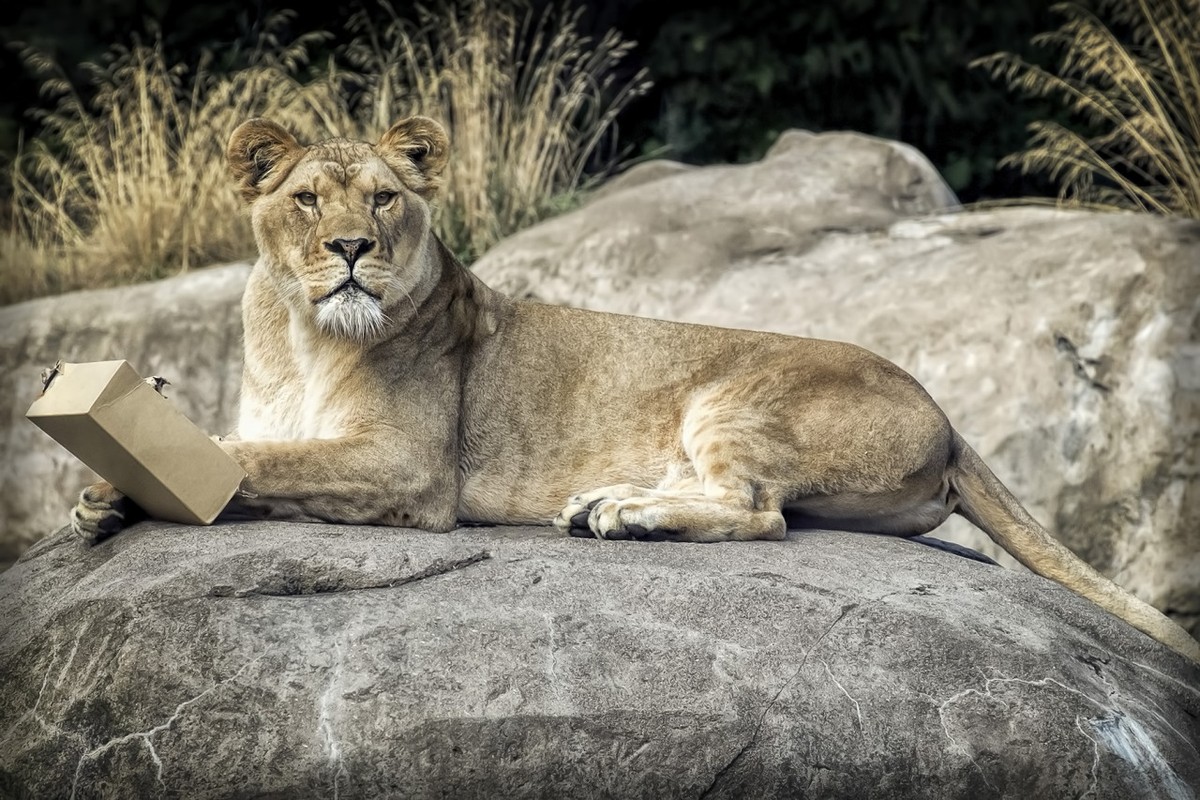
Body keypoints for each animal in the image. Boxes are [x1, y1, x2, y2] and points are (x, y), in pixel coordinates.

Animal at [71, 116, 1200, 663]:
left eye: (384, 200)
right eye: (308, 200)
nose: (351, 249)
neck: (305, 335)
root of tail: (950, 417)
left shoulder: (410, 468)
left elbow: (253, 457)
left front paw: (121, 482)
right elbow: (244, 448)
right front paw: (102, 493)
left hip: (733, 395)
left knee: (759, 511)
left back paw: (623, 514)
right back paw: (606, 504)